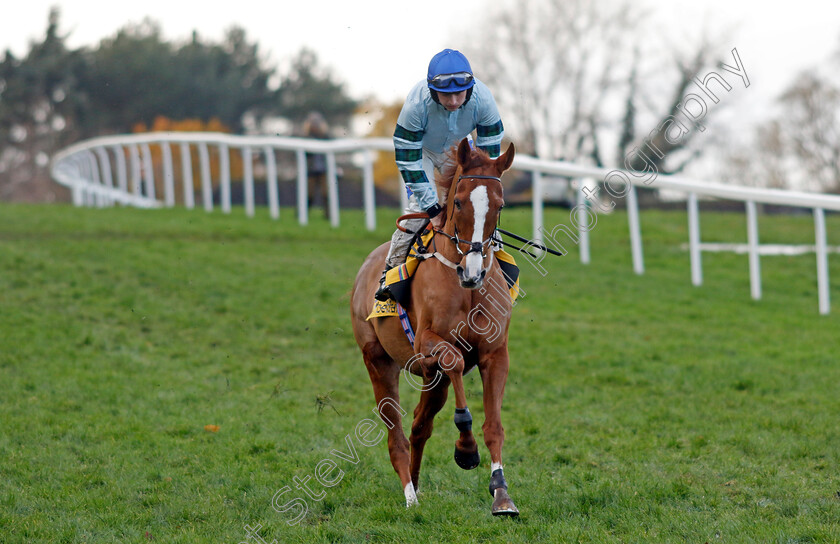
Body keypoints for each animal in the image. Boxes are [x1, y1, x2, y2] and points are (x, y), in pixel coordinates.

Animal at [350, 138, 520, 516]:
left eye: (500, 206)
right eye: (458, 201)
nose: (473, 271)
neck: (465, 288)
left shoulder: (495, 352)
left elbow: (494, 425)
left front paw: (501, 494)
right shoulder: (426, 342)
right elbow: (454, 360)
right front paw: (466, 449)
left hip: (432, 379)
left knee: (419, 425)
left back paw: (416, 483)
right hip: (377, 360)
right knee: (396, 434)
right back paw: (409, 495)